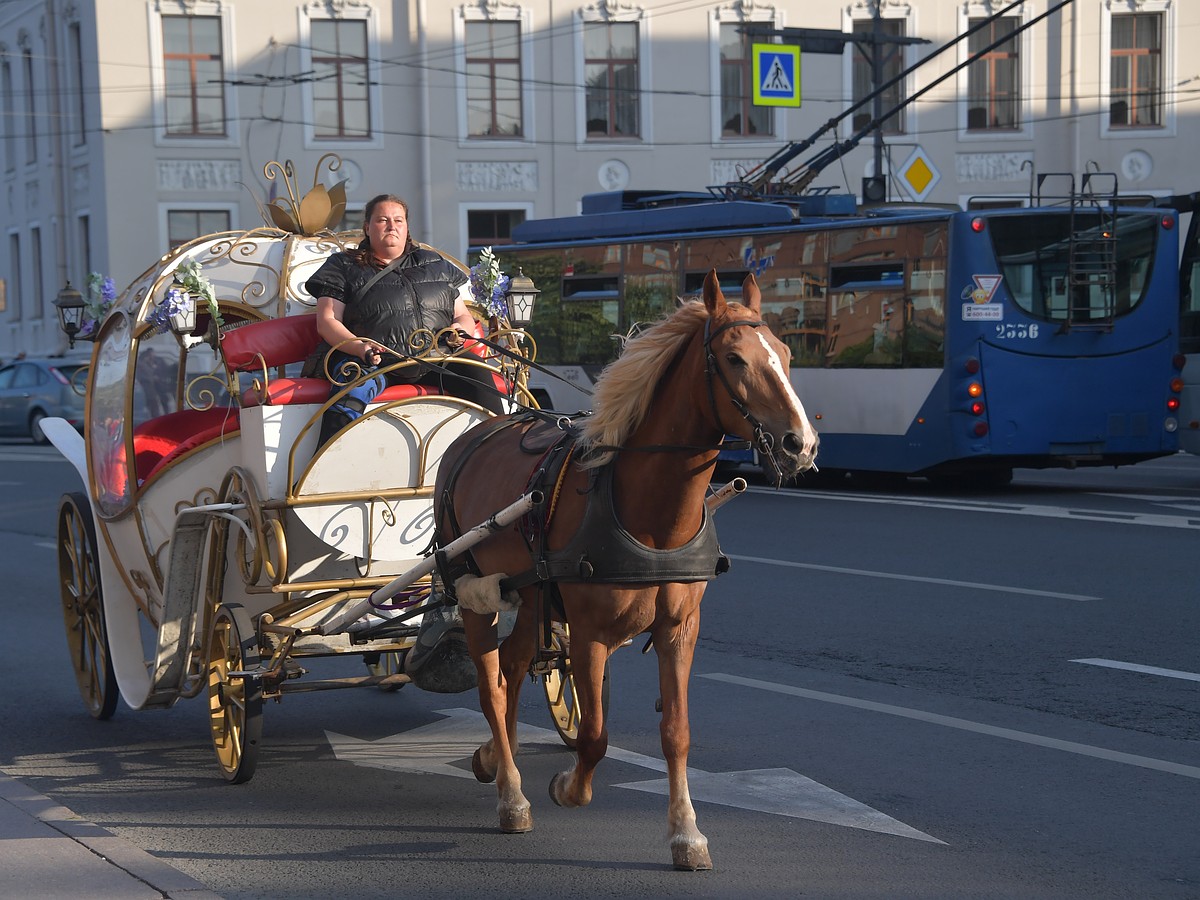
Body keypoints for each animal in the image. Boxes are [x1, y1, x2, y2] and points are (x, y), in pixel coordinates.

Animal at [432, 271, 816, 868]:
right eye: (734, 358)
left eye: (786, 354)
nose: (802, 444)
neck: (646, 513)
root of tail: (475, 434)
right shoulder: (588, 633)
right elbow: (594, 736)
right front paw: (568, 786)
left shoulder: (680, 629)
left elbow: (676, 732)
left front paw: (686, 833)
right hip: (473, 588)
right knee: (491, 684)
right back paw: (512, 794)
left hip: (533, 593)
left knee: (514, 665)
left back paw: (497, 757)